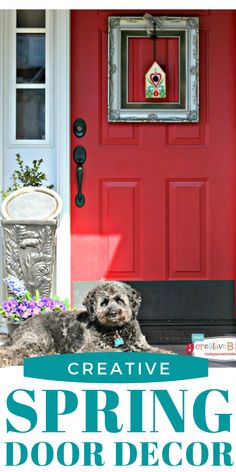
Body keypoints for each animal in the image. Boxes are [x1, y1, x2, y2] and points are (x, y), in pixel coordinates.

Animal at [0, 282, 170, 366]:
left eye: (120, 300)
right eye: (104, 302)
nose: (113, 313)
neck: (116, 331)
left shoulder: (141, 344)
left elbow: (158, 351)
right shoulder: (91, 348)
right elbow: (116, 352)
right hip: (37, 341)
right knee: (14, 351)